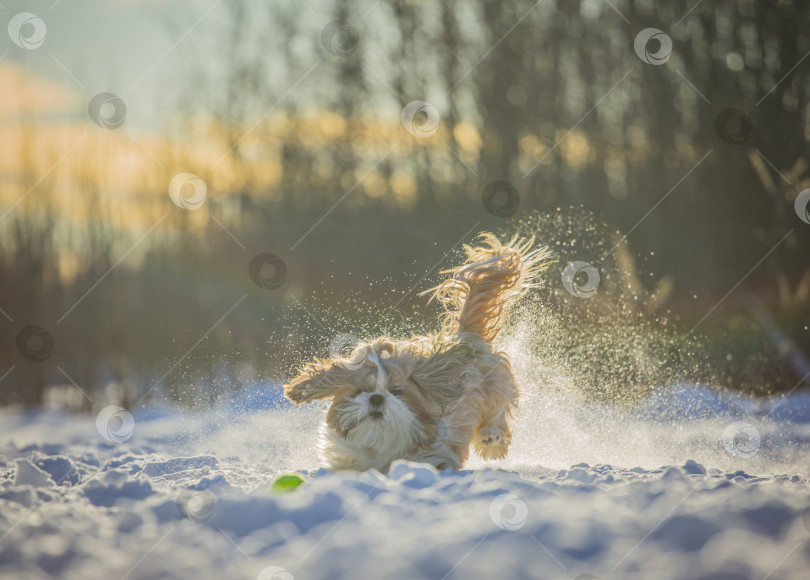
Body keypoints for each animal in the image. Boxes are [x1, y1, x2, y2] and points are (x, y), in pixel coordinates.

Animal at [280, 232, 552, 472]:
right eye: (360, 391)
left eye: (397, 391)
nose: (376, 398)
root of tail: (463, 336)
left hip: (494, 390)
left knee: (496, 418)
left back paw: (490, 437)